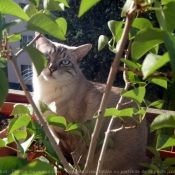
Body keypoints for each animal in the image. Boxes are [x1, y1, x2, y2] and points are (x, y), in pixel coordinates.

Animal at [33, 33, 148, 174]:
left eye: (65, 62)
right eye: (47, 56)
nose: (52, 68)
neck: (46, 90)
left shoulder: (68, 135)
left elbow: (67, 160)